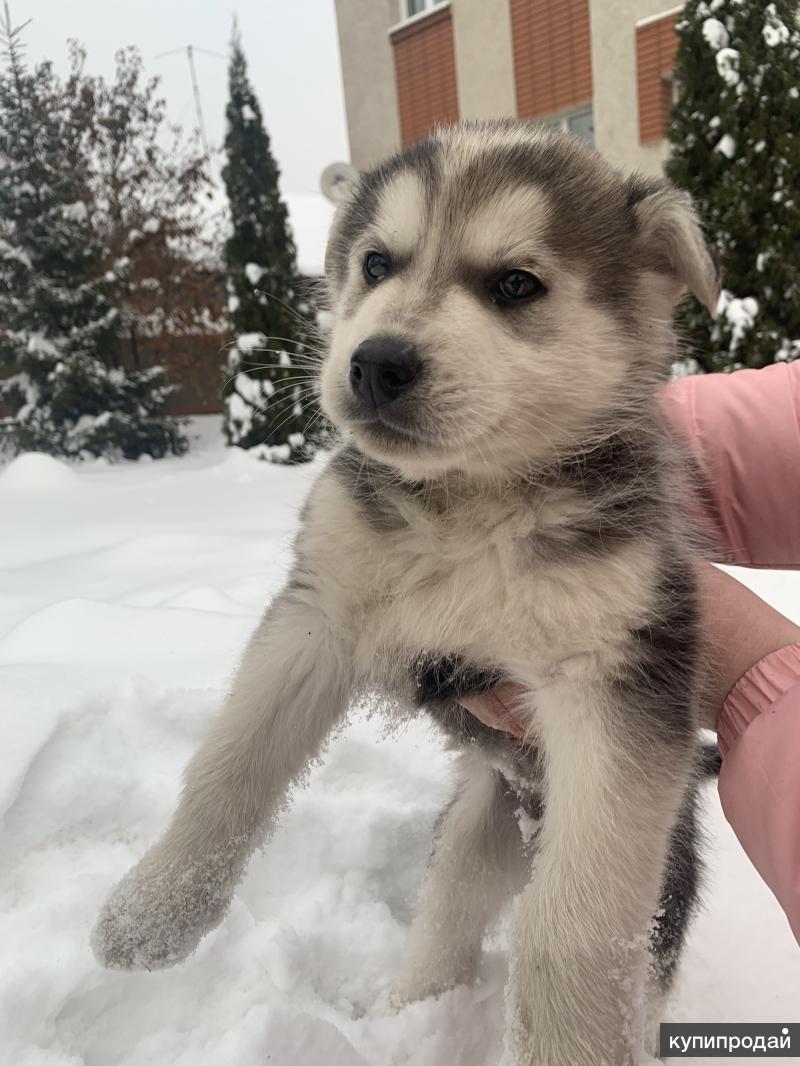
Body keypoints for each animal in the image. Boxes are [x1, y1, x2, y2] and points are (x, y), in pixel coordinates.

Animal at [93, 120, 721, 1061]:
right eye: (377, 264)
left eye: (516, 284)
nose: (377, 363)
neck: (468, 509)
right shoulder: (317, 614)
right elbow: (230, 766)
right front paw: (154, 910)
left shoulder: (617, 682)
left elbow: (574, 921)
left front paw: (568, 1042)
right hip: (471, 827)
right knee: (446, 919)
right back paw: (401, 1018)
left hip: (664, 870)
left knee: (635, 963)